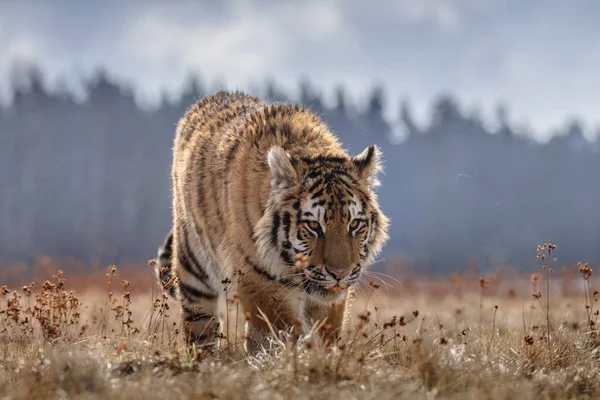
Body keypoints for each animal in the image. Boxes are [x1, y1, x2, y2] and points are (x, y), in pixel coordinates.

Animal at [155, 90, 390, 354]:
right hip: (194, 271)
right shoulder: (262, 283)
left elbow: (326, 335)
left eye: (354, 224)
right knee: (200, 327)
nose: (340, 273)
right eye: (314, 226)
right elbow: (279, 334)